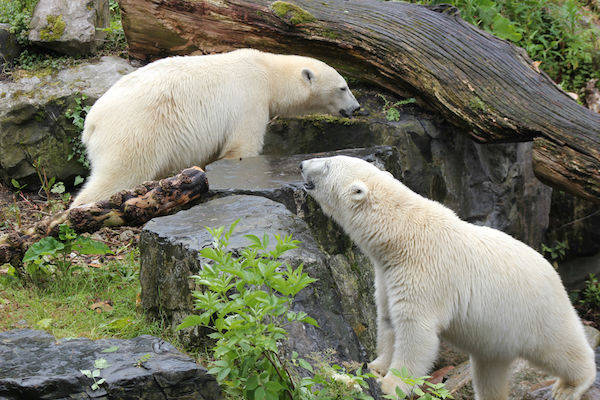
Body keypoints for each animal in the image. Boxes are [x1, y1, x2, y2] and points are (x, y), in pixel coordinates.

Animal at [70, 48, 360, 208]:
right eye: (343, 87)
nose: (356, 108)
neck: (267, 71)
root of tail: (92, 121)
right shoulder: (249, 99)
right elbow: (242, 146)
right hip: (136, 128)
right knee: (120, 172)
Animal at [300, 155, 596, 400]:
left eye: (327, 164)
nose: (302, 164)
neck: (400, 235)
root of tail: (554, 274)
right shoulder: (386, 274)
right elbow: (387, 320)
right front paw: (375, 367)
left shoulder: (424, 272)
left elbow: (417, 332)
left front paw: (390, 385)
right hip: (496, 337)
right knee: (488, 371)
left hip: (535, 312)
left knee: (561, 348)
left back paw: (570, 385)